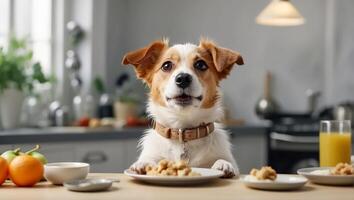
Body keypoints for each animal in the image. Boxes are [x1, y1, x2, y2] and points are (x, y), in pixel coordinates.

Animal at [121, 38, 243, 177]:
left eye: (201, 64)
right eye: (166, 65)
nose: (183, 78)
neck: (183, 130)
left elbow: (222, 160)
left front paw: (222, 164)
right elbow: (149, 159)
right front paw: (143, 164)